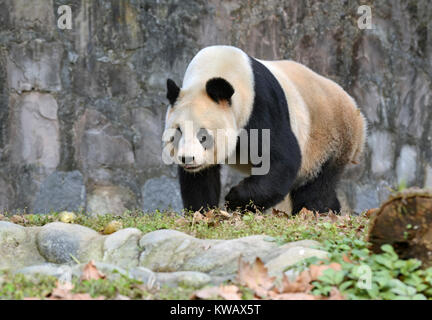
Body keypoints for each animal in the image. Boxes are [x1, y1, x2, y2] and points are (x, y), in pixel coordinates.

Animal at [161, 45, 364, 215]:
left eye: (203, 136)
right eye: (178, 133)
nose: (187, 158)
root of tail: (358, 114)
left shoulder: (261, 104)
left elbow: (282, 159)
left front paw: (234, 200)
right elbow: (201, 179)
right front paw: (202, 212)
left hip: (329, 137)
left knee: (316, 185)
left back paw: (316, 212)